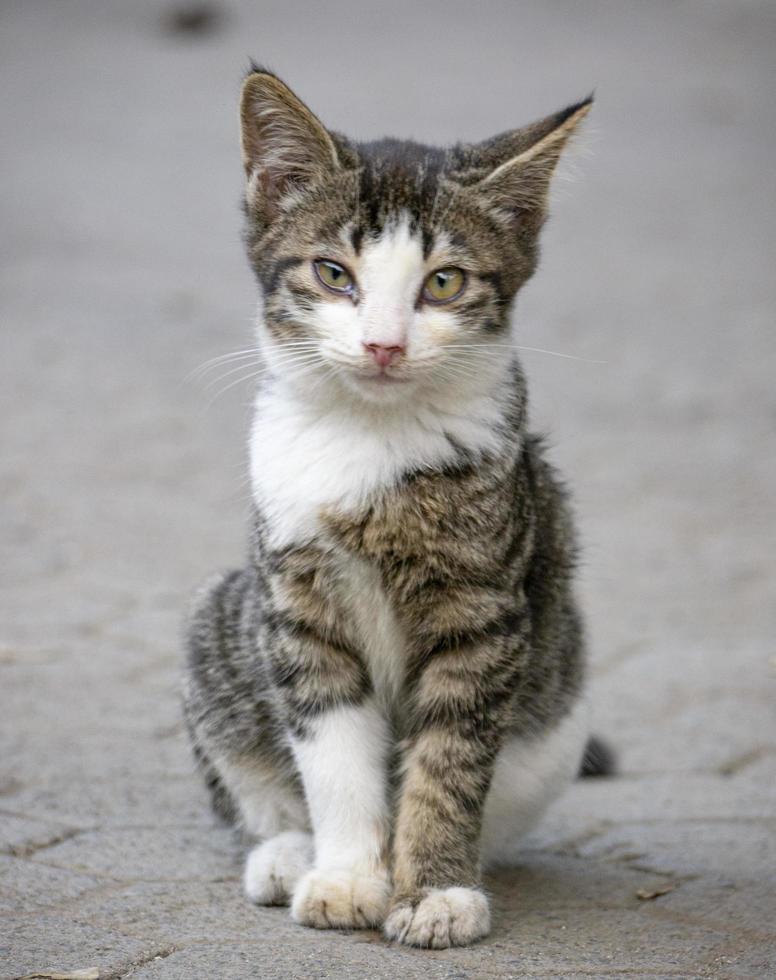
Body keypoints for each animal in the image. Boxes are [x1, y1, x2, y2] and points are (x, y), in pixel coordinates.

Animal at [183, 67, 612, 948]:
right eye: (332, 273)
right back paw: (288, 852)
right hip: (220, 622)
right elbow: (332, 750)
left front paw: (437, 890)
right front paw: (348, 876)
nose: (384, 344)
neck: (372, 437)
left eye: (443, 281)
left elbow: (448, 758)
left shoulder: (484, 609)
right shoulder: (296, 603)